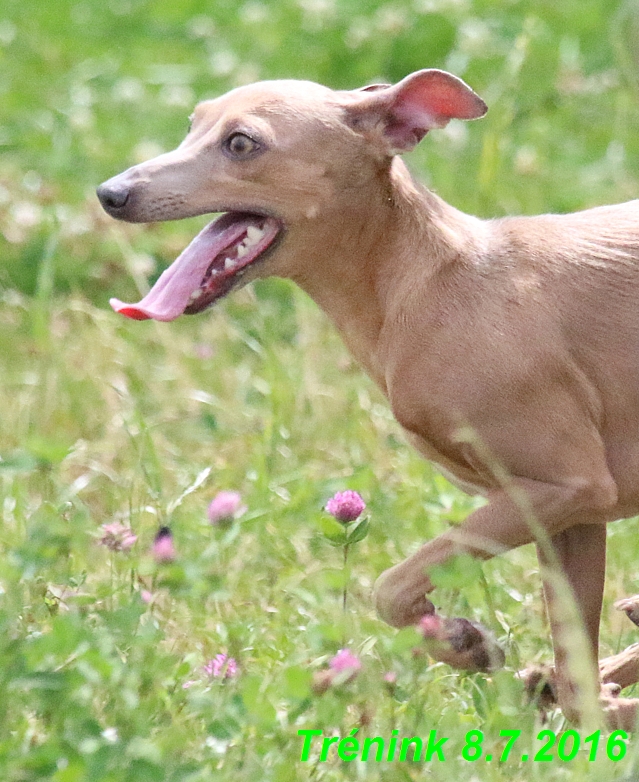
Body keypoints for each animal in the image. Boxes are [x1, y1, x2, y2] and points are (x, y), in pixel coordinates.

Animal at [97, 69, 639, 728]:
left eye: (242, 143)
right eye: (192, 124)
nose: (110, 193)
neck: (432, 283)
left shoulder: (568, 486)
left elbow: (389, 588)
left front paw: (460, 640)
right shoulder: (573, 516)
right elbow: (575, 669)